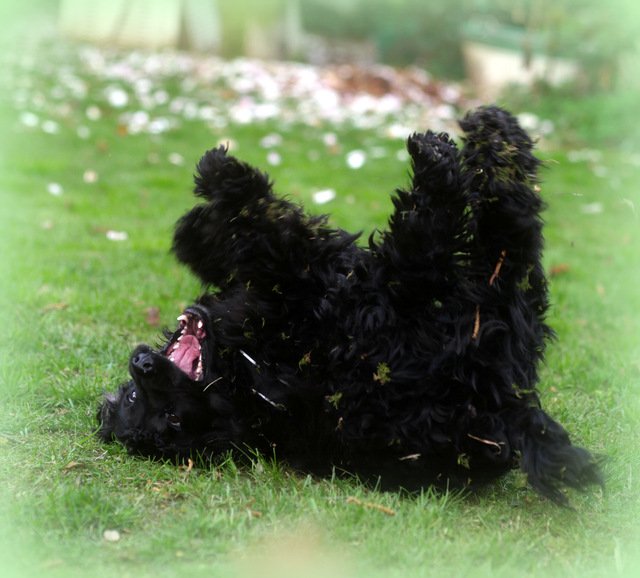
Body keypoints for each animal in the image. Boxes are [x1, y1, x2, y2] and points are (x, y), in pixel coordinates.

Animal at [98, 106, 602, 504]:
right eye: (168, 417)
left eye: (132, 396)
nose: (141, 364)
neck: (244, 374)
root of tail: (506, 405)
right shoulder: (321, 290)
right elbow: (278, 235)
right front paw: (226, 176)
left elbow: (233, 245)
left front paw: (199, 219)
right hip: (448, 312)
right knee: (487, 239)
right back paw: (459, 159)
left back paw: (491, 134)